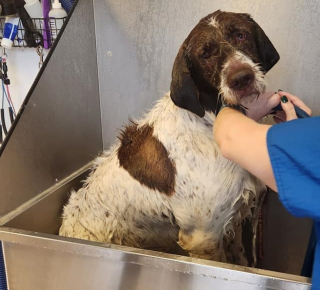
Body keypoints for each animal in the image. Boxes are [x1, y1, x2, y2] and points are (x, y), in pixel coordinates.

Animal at [58, 10, 278, 266]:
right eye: (204, 54)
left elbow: (242, 259)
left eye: (240, 35)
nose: (242, 78)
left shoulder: (237, 217)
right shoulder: (204, 238)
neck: (212, 119)